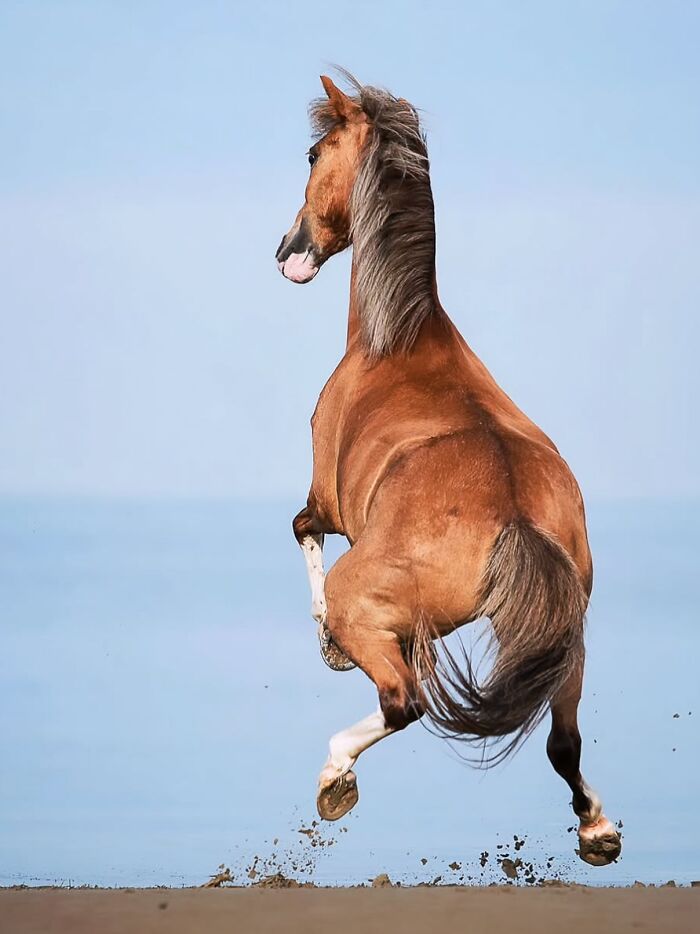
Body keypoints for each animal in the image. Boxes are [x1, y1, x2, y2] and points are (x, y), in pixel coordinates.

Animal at [275, 71, 621, 867]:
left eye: (313, 154)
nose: (288, 249)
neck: (398, 336)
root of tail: (515, 516)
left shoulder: (324, 501)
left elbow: (302, 531)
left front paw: (326, 642)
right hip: (568, 637)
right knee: (563, 740)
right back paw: (598, 828)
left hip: (382, 606)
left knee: (404, 702)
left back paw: (335, 777)